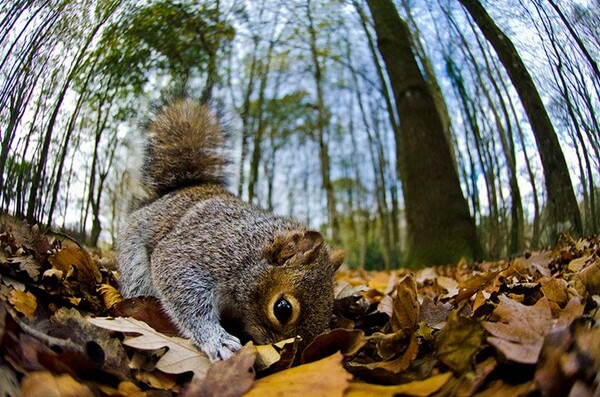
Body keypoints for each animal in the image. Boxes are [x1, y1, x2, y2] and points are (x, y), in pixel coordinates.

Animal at [116, 99, 342, 358]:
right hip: (134, 261)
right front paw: (216, 339)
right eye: (282, 309)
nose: (288, 354)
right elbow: (180, 284)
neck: (252, 250)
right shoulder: (209, 249)